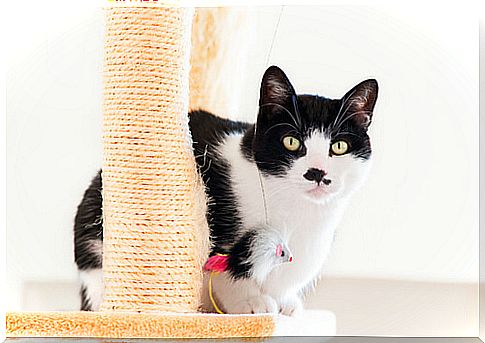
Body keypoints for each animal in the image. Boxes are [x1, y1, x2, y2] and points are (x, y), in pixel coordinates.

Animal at [73, 66, 378, 316]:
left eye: (339, 146)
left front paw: (285, 301)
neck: (297, 213)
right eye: (291, 142)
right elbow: (226, 270)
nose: (317, 173)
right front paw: (251, 301)